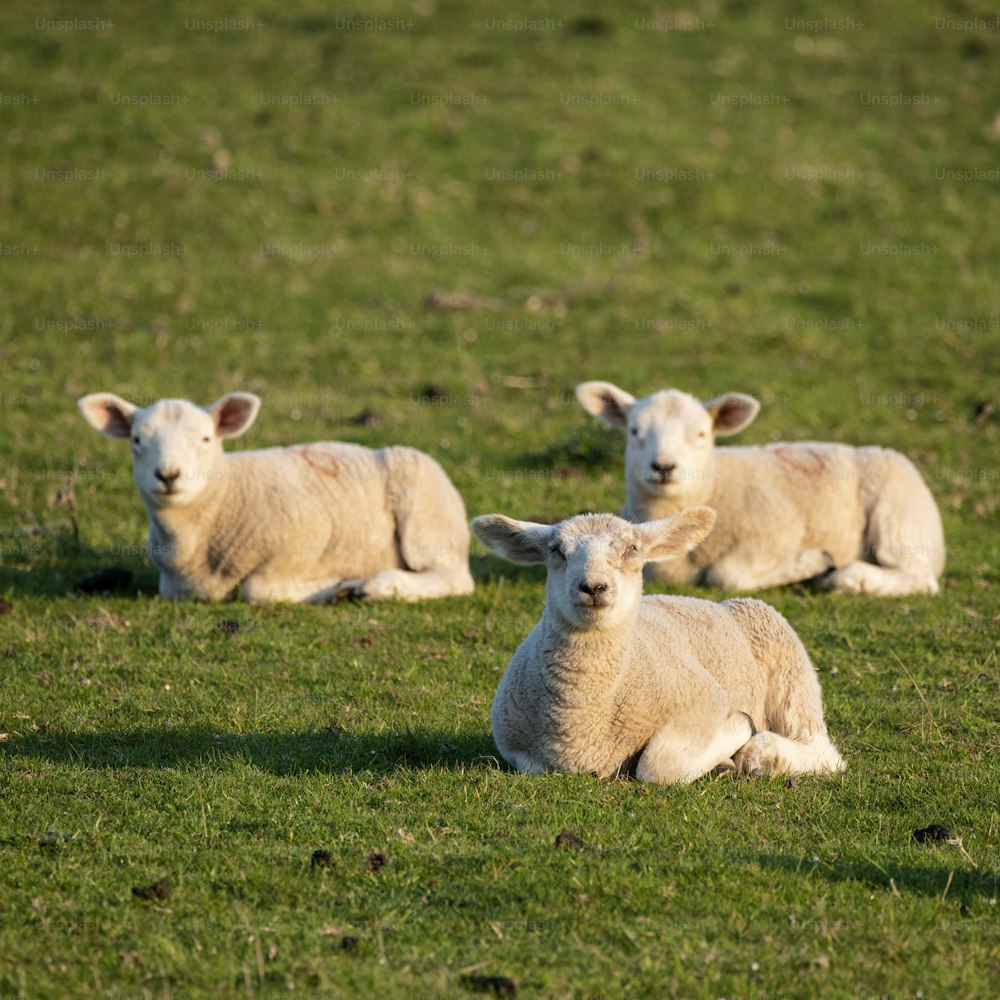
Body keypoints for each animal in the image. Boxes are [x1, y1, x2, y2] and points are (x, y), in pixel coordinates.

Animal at [76, 388, 474, 600]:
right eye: (136, 440)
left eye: (205, 439)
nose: (168, 475)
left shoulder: (309, 527)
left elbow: (258, 590)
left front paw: (331, 588)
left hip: (427, 519)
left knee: (452, 577)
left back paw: (376, 585)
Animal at [470, 508, 844, 780]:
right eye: (556, 551)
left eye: (632, 549)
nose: (593, 587)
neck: (581, 721)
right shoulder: (516, 747)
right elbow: (533, 766)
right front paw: (722, 760)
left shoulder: (705, 699)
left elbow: (657, 766)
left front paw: (740, 729)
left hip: (788, 666)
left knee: (822, 750)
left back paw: (762, 753)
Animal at [580, 376, 944, 592]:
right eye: (634, 432)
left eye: (701, 434)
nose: (664, 467)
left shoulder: (782, 530)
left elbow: (727, 576)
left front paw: (812, 562)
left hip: (897, 517)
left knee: (918, 575)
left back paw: (849, 576)